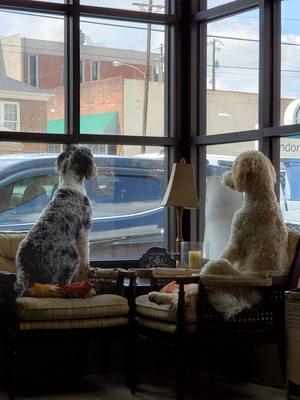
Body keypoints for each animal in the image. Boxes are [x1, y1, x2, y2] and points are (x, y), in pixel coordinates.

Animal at [14, 145, 96, 296]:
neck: (70, 184)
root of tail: (25, 264)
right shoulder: (84, 230)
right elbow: (86, 254)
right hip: (71, 257)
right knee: (62, 282)